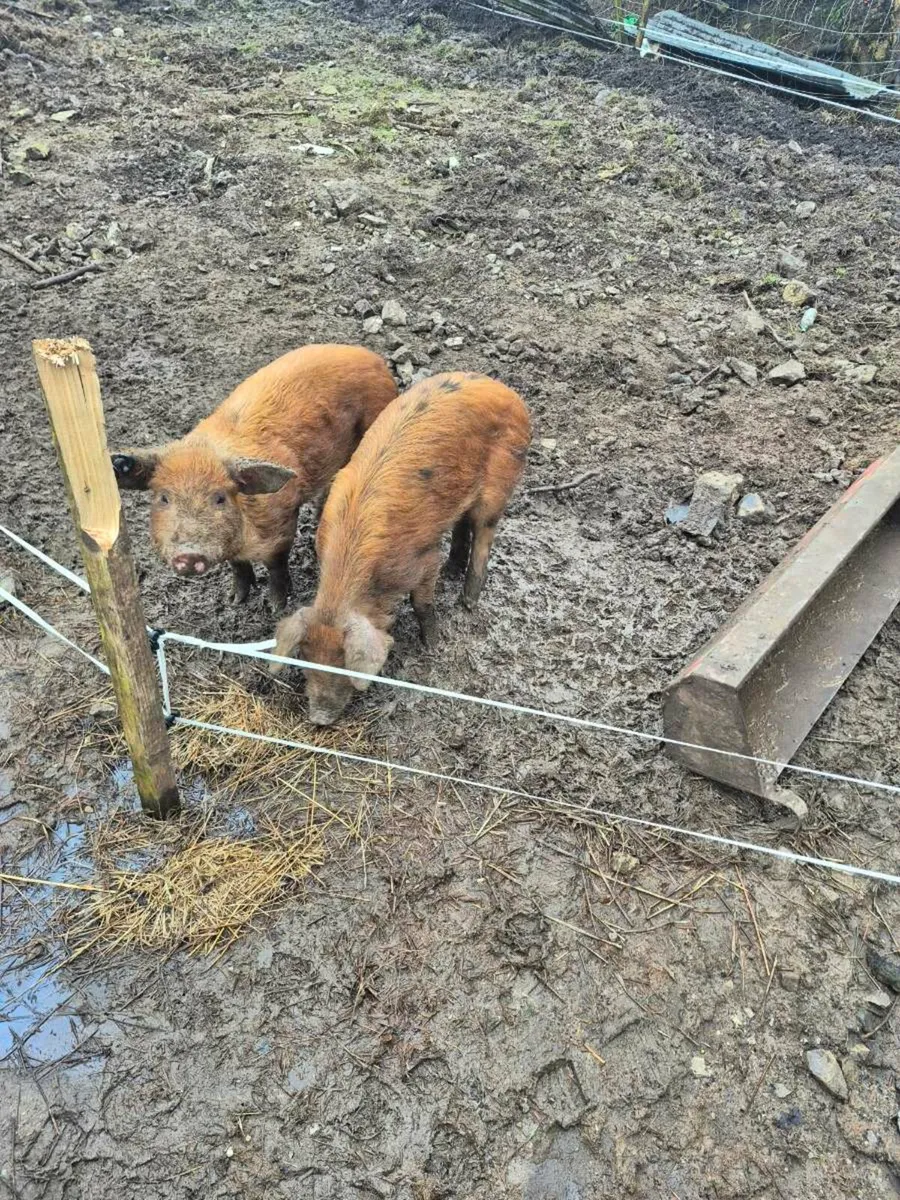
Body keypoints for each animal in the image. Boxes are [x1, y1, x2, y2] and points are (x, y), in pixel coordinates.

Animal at [110, 344, 398, 612]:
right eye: (164, 498)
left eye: (220, 498)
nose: (189, 554)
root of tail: (374, 359)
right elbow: (237, 566)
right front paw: (235, 601)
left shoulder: (282, 521)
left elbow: (276, 564)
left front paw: (275, 606)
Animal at [270, 371, 531, 725]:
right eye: (306, 661)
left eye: (344, 665)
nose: (319, 719)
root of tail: (506, 391)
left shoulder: (423, 559)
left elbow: (422, 605)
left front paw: (432, 646)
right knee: (462, 526)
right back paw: (452, 573)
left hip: (500, 483)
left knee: (484, 533)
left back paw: (467, 601)